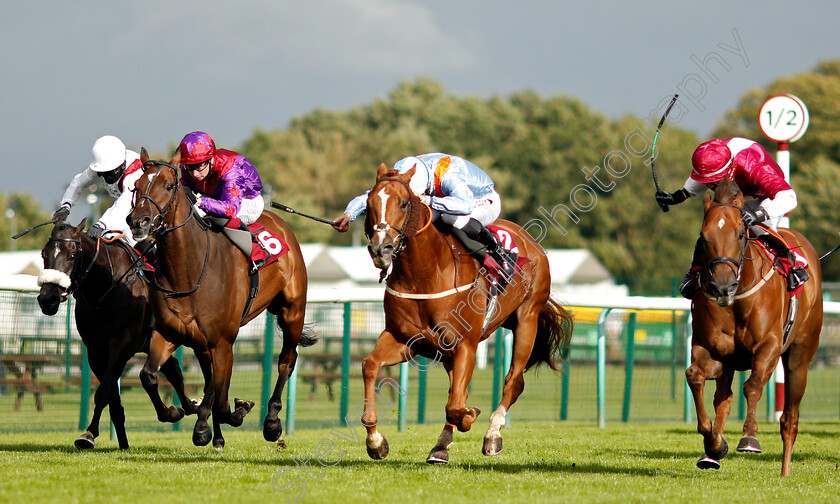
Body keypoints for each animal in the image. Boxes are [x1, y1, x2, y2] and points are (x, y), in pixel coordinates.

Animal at [36, 219, 195, 450]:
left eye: (72, 255)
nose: (48, 298)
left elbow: (103, 392)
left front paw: (89, 434)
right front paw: (120, 441)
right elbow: (112, 397)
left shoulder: (123, 345)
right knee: (173, 369)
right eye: (43, 254)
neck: (105, 290)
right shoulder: (96, 351)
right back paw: (186, 407)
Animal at [126, 150, 316, 448]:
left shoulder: (223, 342)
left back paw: (272, 422)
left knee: (287, 360)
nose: (138, 222)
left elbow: (217, 392)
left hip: (292, 311)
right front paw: (174, 412)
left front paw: (206, 425)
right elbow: (149, 375)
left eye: (168, 186)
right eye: (136, 186)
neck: (188, 271)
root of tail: (282, 223)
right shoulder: (169, 333)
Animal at [358, 163, 576, 462]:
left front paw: (471, 416)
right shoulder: (406, 340)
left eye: (403, 203)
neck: (424, 275)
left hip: (527, 318)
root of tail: (531, 241)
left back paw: (492, 435)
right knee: (457, 390)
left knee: (513, 382)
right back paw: (441, 446)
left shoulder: (465, 345)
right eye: (369, 204)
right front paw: (375, 441)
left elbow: (457, 406)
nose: (381, 248)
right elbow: (370, 365)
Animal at [688, 181, 820, 476]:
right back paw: (711, 454)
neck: (737, 299)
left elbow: (753, 386)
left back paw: (785, 472)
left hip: (799, 357)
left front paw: (749, 437)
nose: (723, 287)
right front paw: (714, 444)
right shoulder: (712, 350)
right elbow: (696, 376)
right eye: (703, 236)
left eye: (740, 233)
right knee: (723, 400)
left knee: (789, 418)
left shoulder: (768, 346)